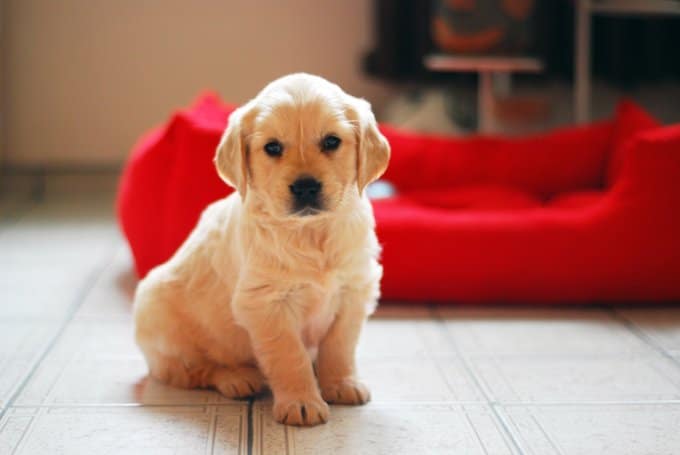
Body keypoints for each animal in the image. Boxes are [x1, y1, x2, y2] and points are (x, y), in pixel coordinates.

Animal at [133, 73, 390, 426]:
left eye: (331, 142)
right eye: (272, 147)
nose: (306, 187)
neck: (310, 232)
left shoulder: (354, 290)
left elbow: (339, 345)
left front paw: (341, 383)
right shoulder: (266, 303)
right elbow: (289, 355)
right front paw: (301, 401)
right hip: (161, 319)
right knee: (194, 370)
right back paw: (237, 378)